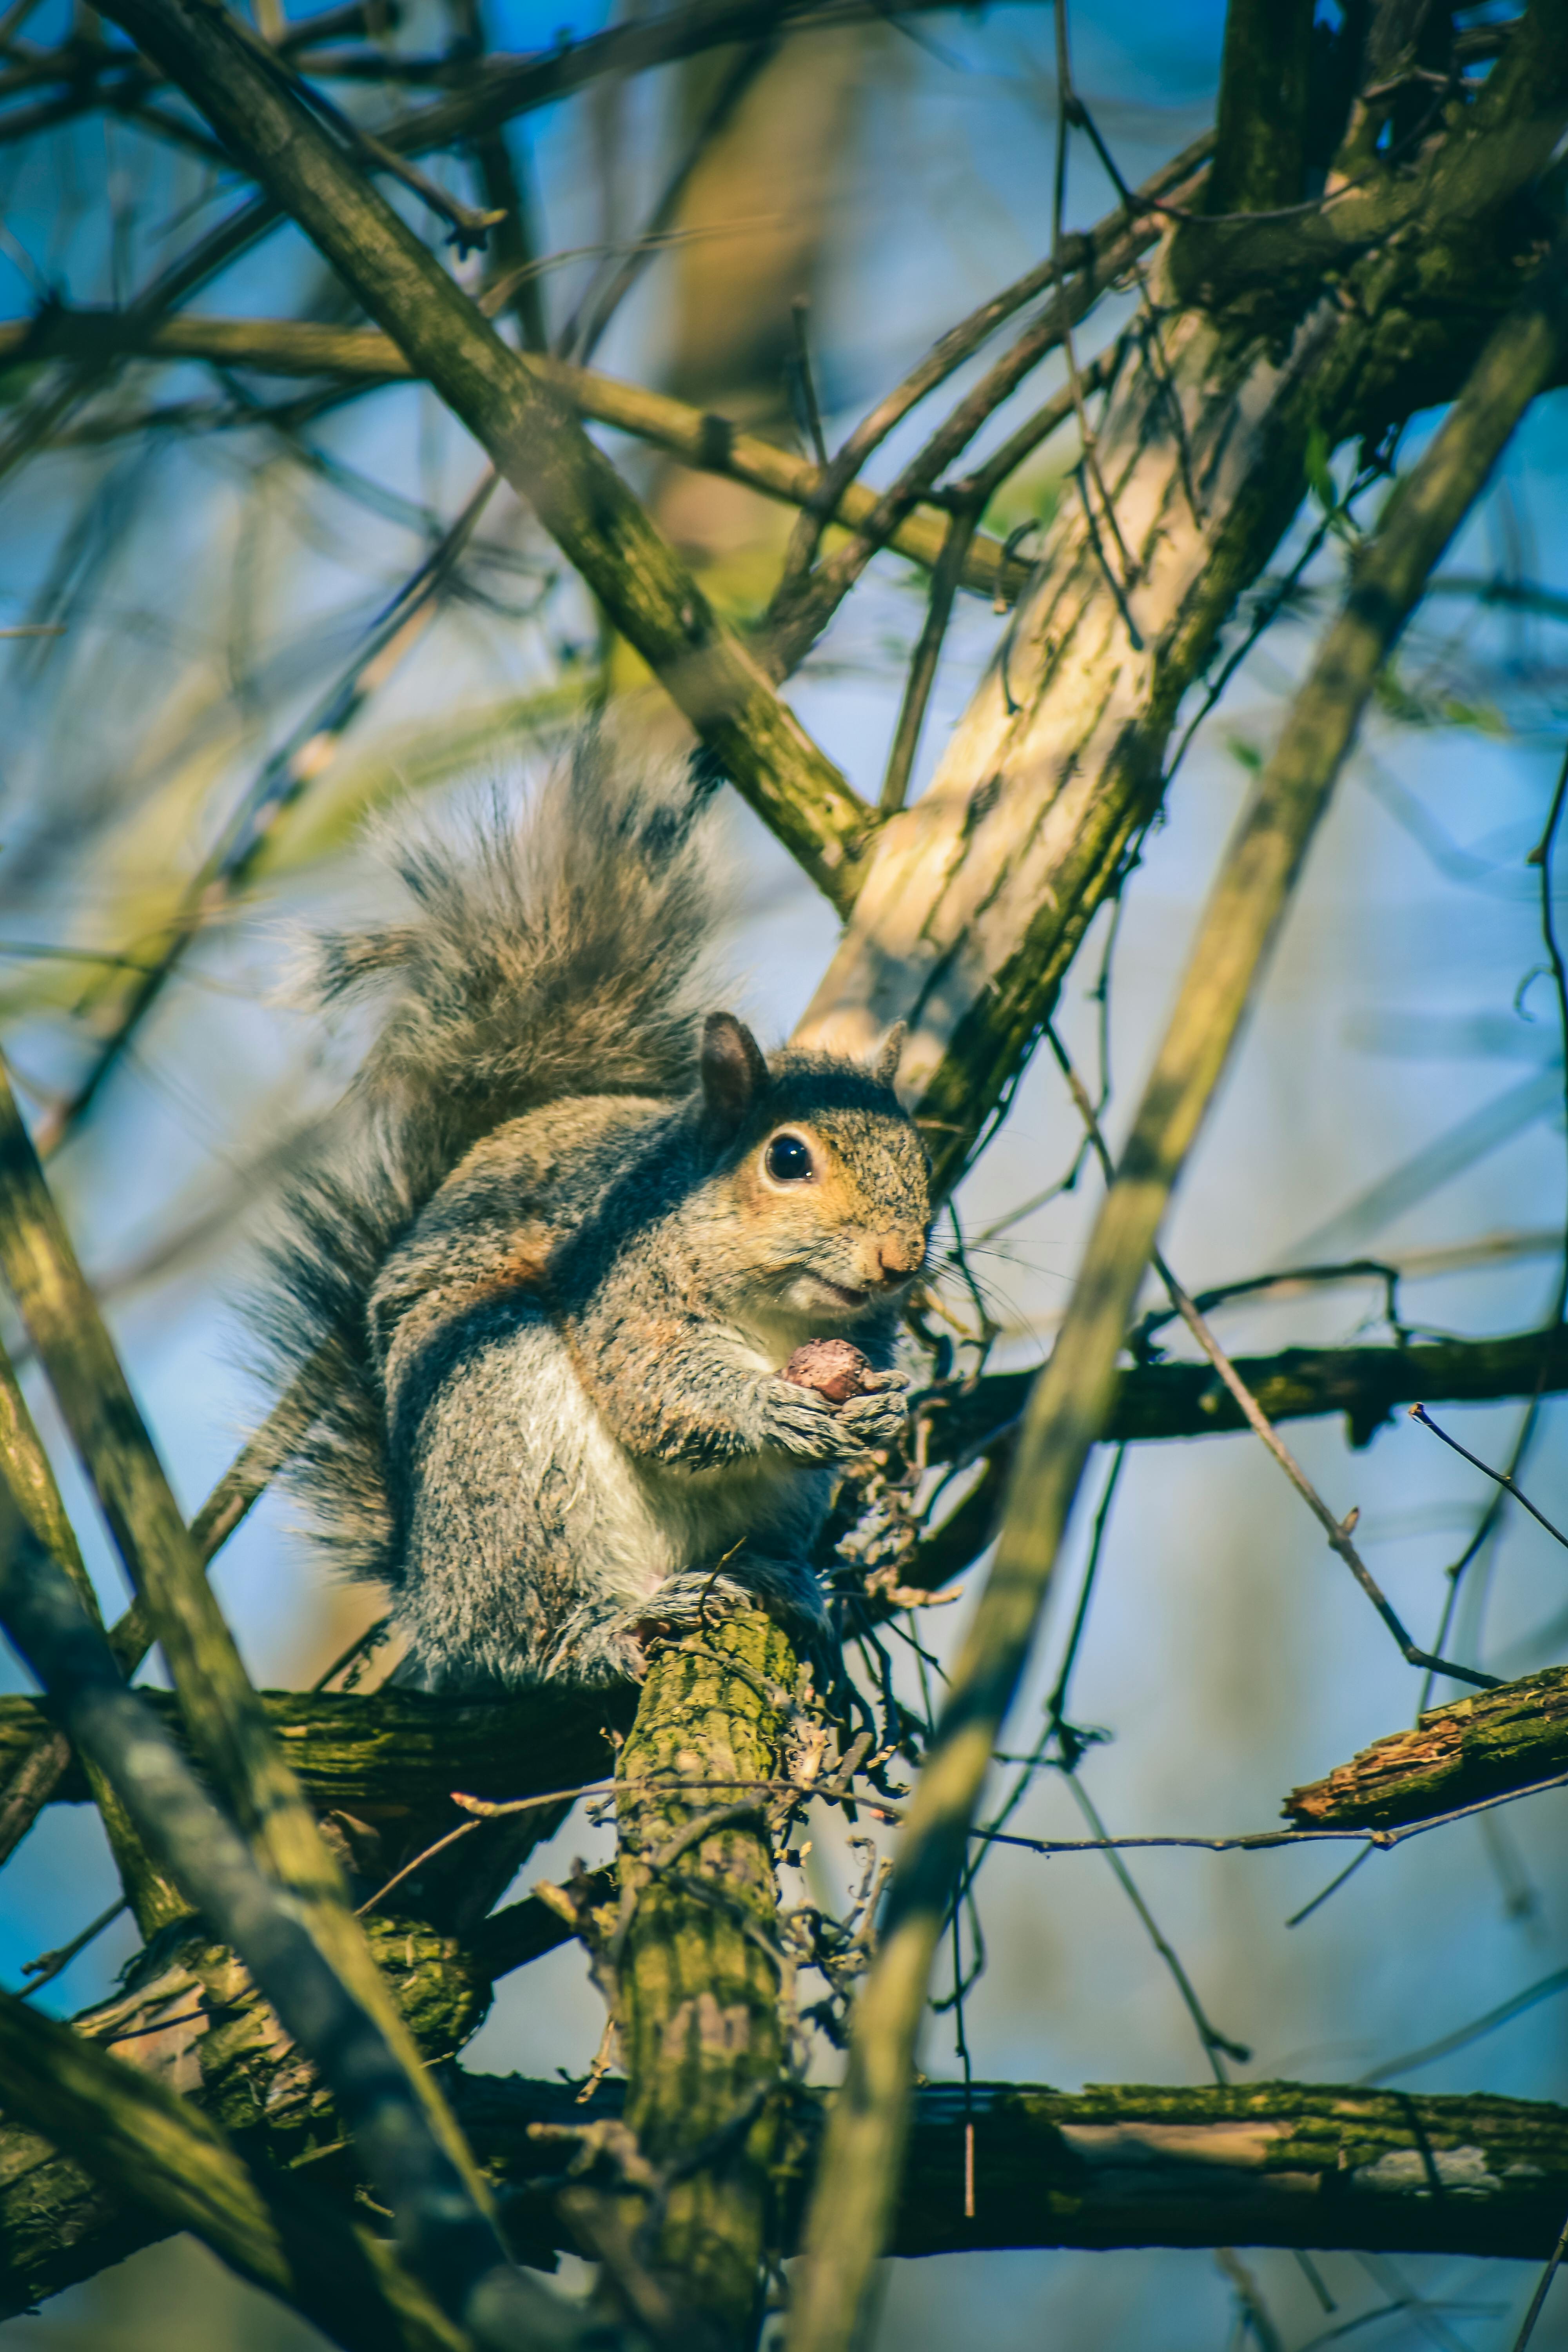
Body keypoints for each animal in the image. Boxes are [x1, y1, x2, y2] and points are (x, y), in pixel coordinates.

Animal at [250, 729, 926, 1693]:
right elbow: (661, 1388)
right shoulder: (624, 1292)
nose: (901, 1260)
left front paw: (886, 1407)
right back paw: (610, 1627)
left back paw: (780, 1581)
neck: (774, 1310)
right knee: (525, 1635)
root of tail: (425, 1593)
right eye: (788, 1158)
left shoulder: (861, 1327)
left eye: (921, 1152)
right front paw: (765, 1408)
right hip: (506, 1442)